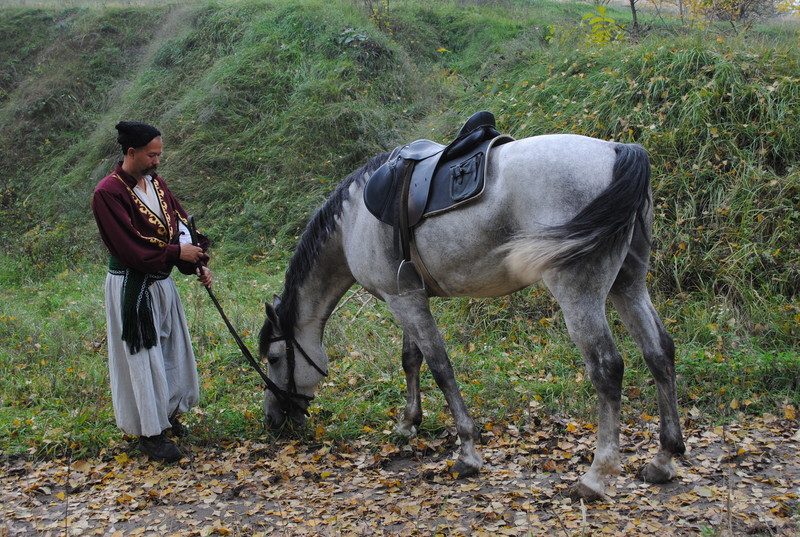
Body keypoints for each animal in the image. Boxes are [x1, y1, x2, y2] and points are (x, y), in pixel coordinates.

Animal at [258, 132, 685, 501]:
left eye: (275, 358)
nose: (274, 419)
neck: (355, 220)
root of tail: (617, 150)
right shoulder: (408, 296)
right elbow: (411, 360)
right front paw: (408, 423)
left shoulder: (403, 301)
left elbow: (440, 367)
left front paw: (466, 452)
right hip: (628, 284)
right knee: (659, 352)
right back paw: (663, 460)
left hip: (579, 293)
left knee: (608, 368)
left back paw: (596, 476)